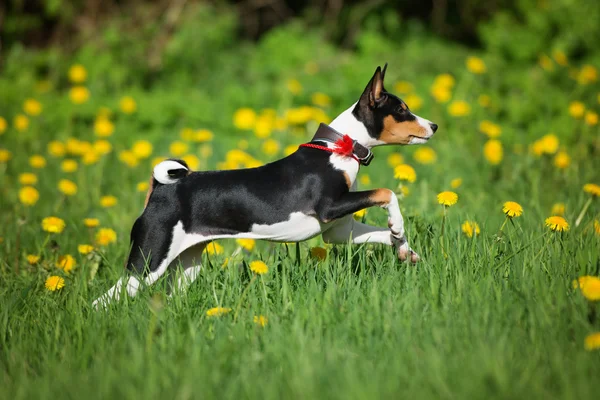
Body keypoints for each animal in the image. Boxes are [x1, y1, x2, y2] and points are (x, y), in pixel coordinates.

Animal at [94, 65, 438, 310]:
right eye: (402, 109)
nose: (434, 125)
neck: (340, 149)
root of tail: (160, 188)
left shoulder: (338, 230)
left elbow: (382, 235)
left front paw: (404, 248)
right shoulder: (330, 207)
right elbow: (386, 193)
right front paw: (397, 224)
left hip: (185, 264)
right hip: (148, 262)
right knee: (101, 302)